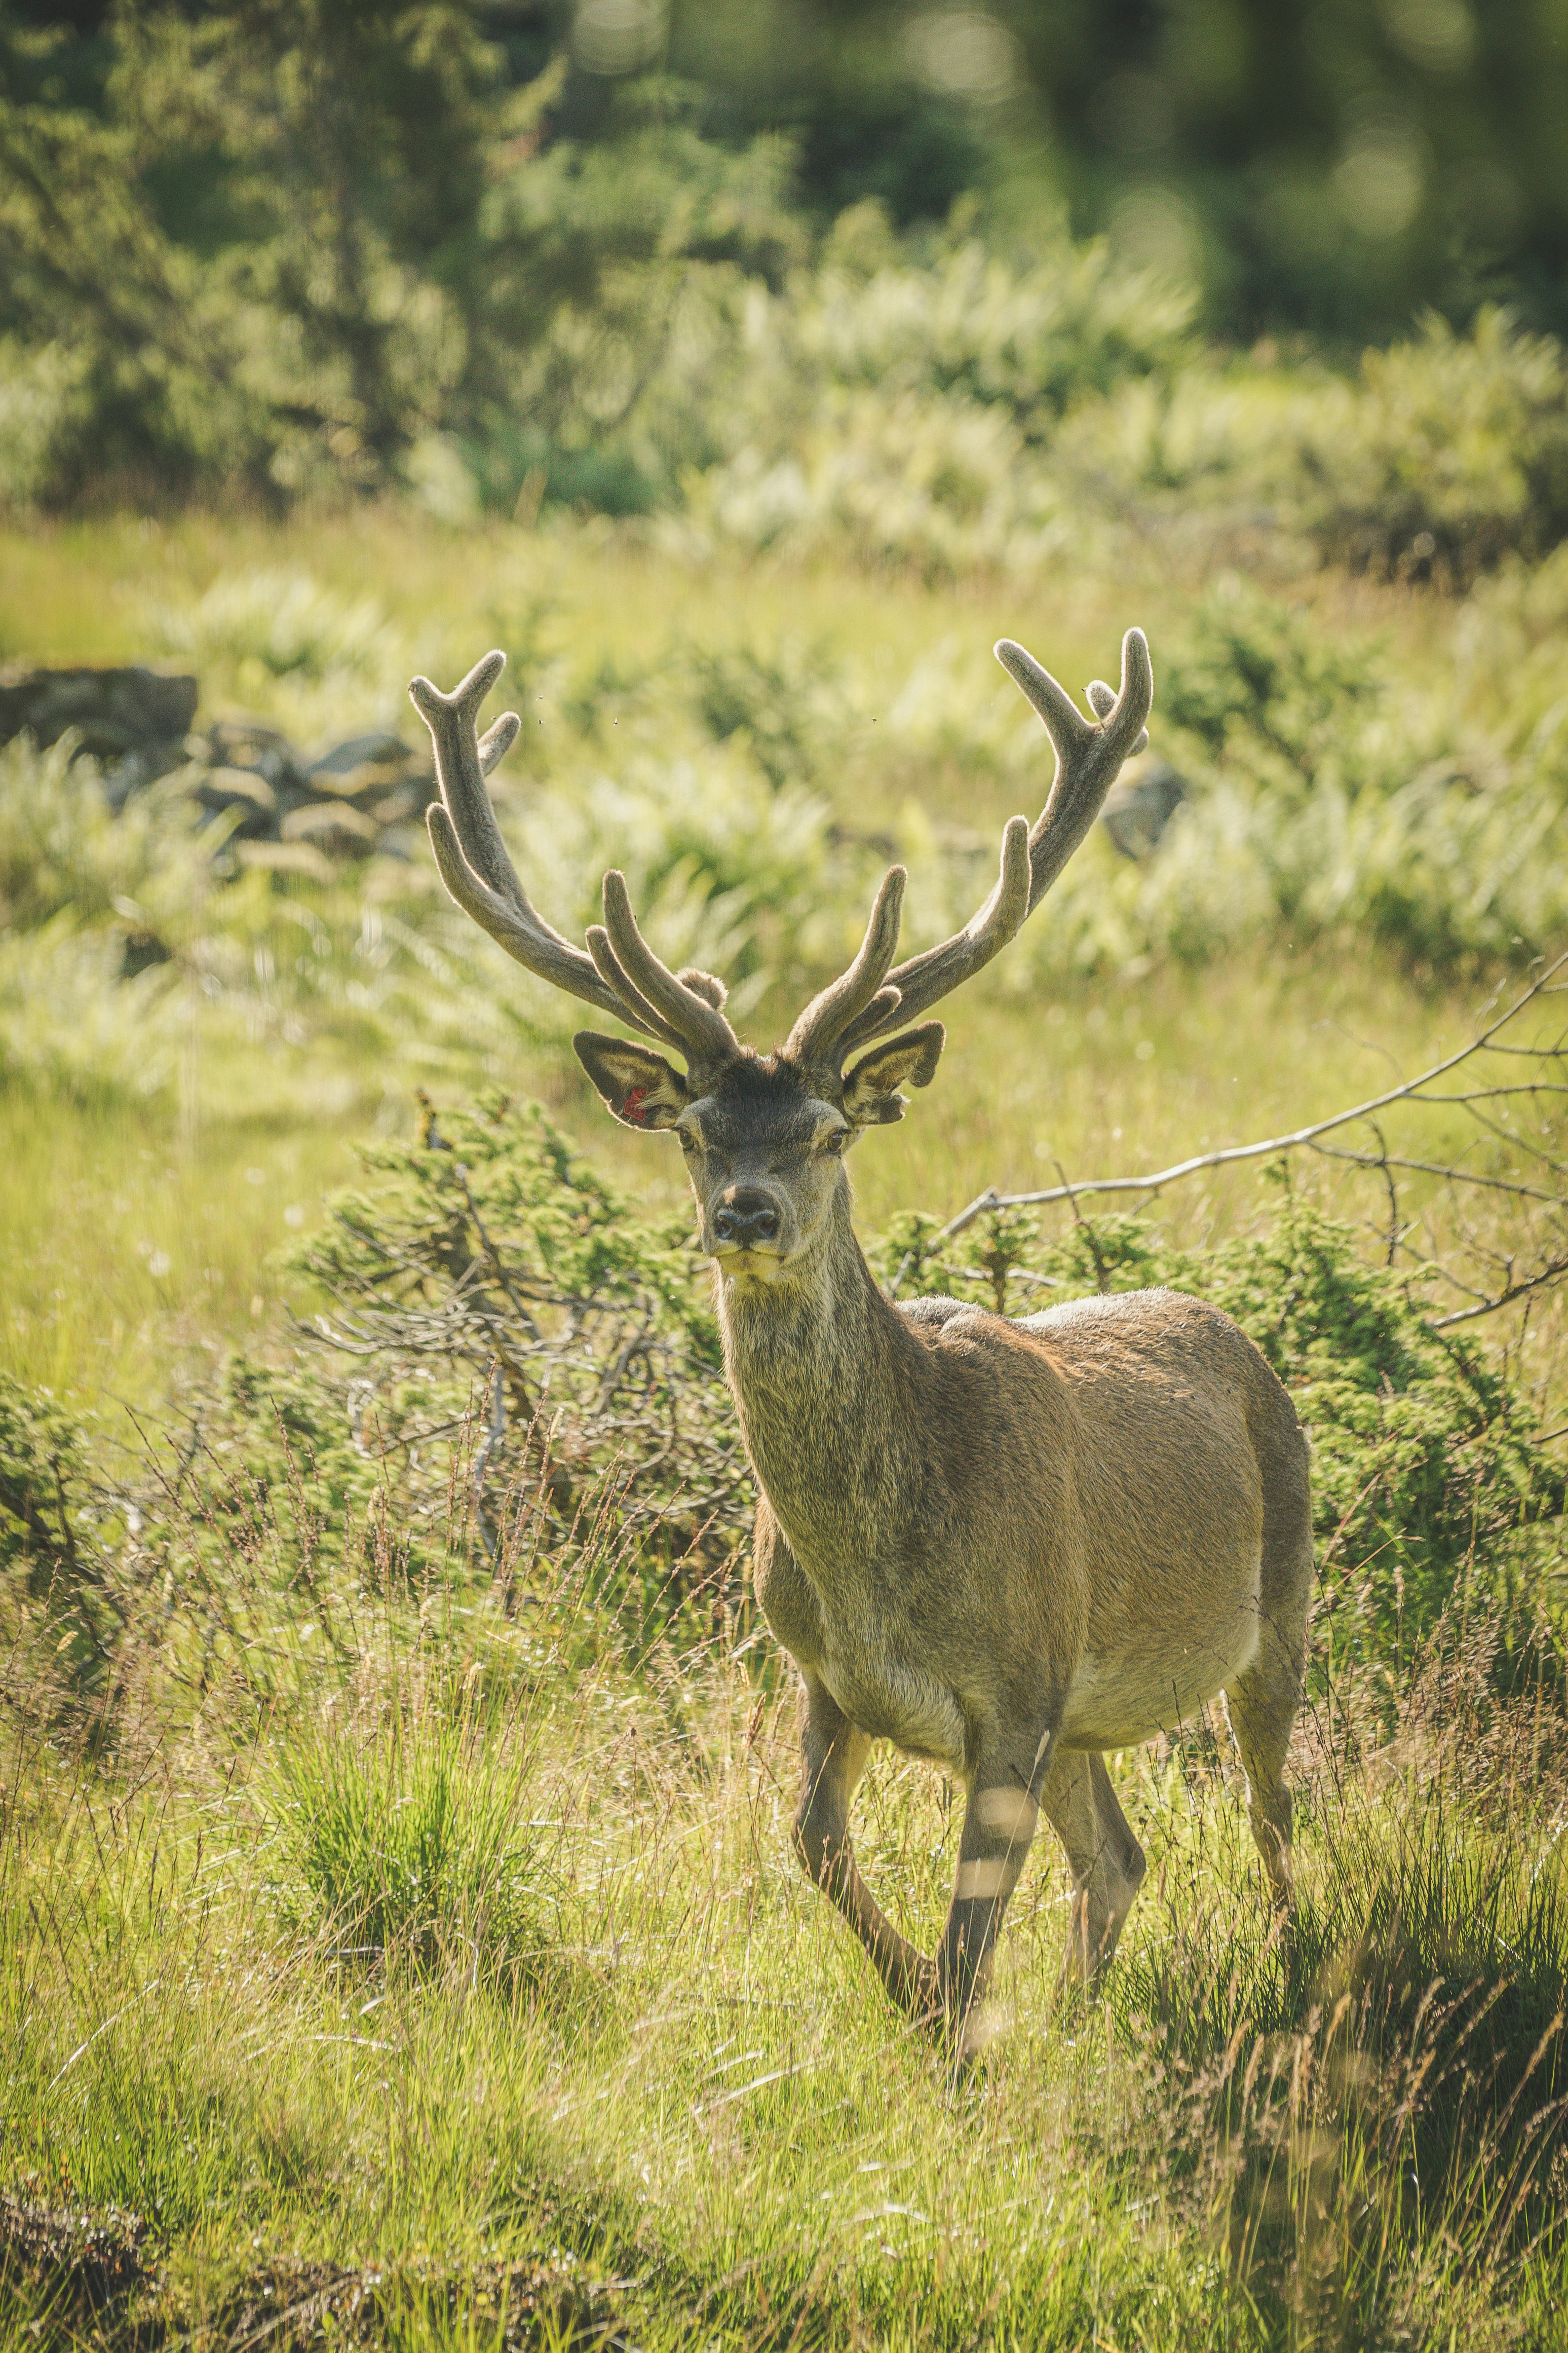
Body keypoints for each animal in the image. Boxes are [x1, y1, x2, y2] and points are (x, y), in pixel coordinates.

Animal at [409, 635, 1316, 2051]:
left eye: (830, 1129)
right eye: (693, 1131)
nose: (746, 1210)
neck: (881, 1564)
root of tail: (1236, 1334)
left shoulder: (1019, 1680)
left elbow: (966, 1919)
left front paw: (953, 2045)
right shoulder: (823, 1673)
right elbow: (815, 1843)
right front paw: (927, 2013)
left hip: (1280, 1604)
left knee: (1275, 1816)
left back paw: (1294, 1975)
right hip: (1092, 1720)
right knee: (1119, 1856)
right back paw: (1077, 2020)